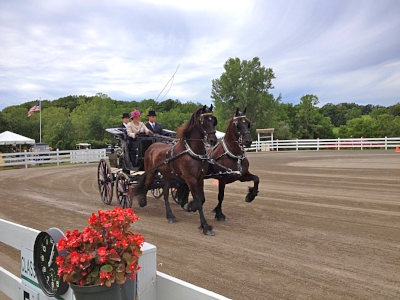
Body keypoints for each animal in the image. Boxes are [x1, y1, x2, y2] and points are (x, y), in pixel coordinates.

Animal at [133, 106, 217, 237]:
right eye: (203, 121)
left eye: (213, 120)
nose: (213, 140)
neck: (192, 152)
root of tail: (152, 146)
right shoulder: (190, 179)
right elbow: (198, 200)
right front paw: (206, 227)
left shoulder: (200, 178)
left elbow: (202, 199)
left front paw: (190, 207)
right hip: (151, 171)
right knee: (147, 184)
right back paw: (142, 201)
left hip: (167, 176)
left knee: (165, 194)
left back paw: (170, 216)